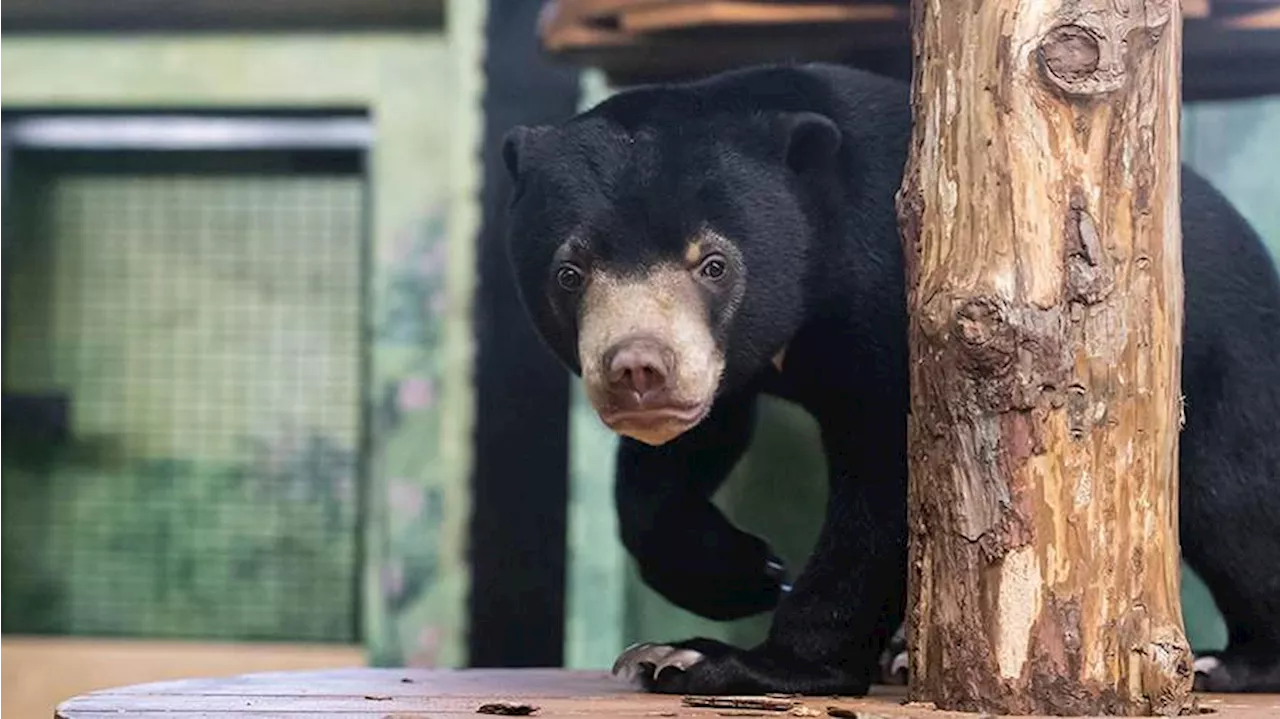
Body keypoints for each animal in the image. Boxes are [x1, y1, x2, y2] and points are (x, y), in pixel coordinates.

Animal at [496, 63, 1280, 695]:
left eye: (713, 263)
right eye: (569, 272)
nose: (638, 368)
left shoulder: (898, 301)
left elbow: (890, 479)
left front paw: (722, 661)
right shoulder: (731, 367)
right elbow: (684, 455)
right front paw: (737, 575)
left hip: (1226, 359)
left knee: (1234, 500)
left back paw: (1232, 662)